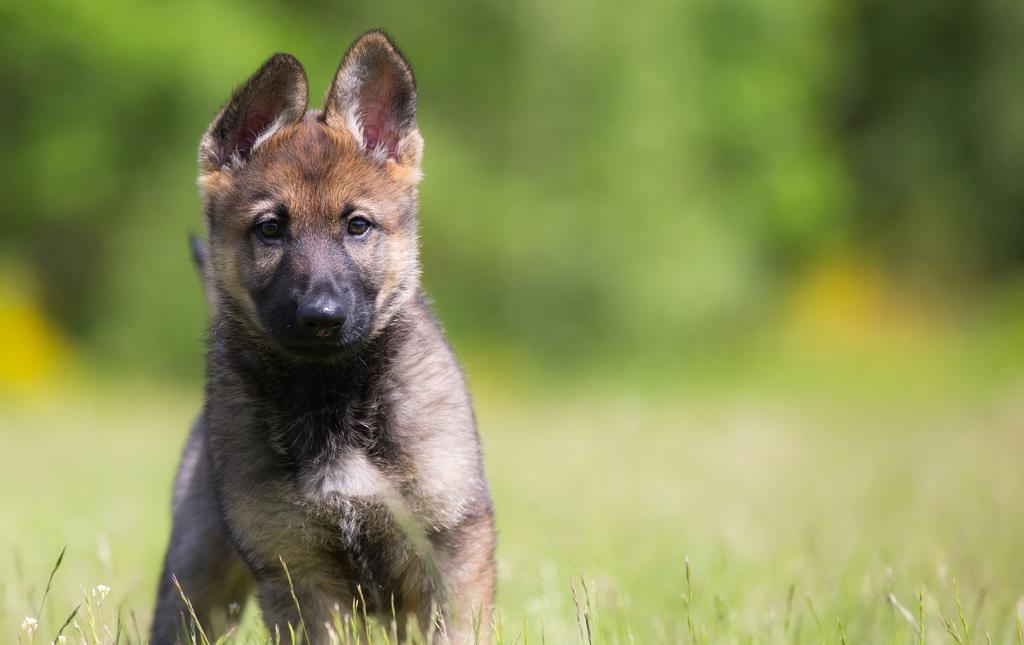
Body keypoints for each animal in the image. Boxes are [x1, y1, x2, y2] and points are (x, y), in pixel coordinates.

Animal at [152, 31, 499, 645]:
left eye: (357, 225)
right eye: (270, 228)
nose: (322, 316)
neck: (330, 396)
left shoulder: (453, 551)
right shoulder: (298, 574)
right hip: (195, 584)